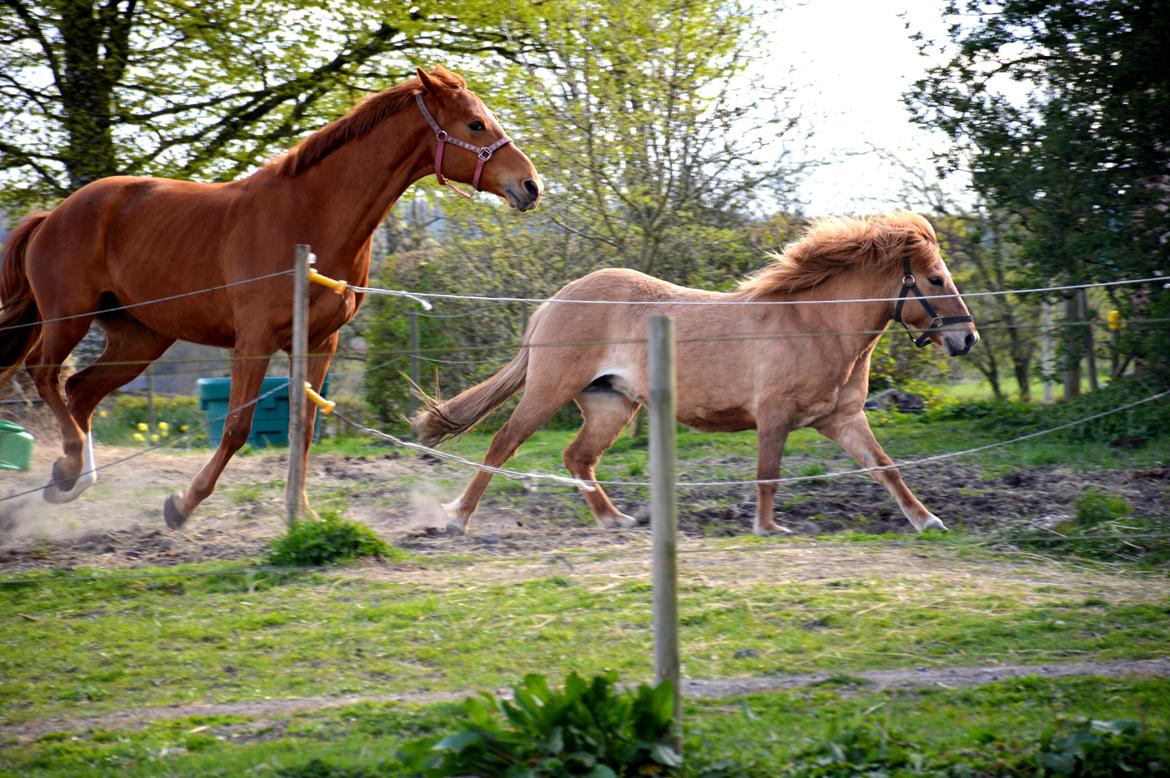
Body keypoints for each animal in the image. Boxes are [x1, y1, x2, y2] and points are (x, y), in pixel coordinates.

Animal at [0, 66, 538, 524]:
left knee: (79, 391)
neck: (310, 216)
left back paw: (70, 480)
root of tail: (52, 215)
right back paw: (70, 467)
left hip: (138, 339)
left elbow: (305, 428)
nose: (530, 185)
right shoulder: (254, 340)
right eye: (474, 124)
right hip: (69, 317)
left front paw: (304, 514)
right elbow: (238, 427)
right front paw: (183, 505)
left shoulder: (320, 342)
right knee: (45, 375)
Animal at [416, 215, 982, 538]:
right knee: (503, 445)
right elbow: (768, 473)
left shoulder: (842, 419)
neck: (813, 322)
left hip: (610, 404)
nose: (968, 338)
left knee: (577, 457)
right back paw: (456, 519)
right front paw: (768, 528)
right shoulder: (774, 416)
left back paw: (614, 521)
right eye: (936, 279)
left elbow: (887, 469)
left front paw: (928, 520)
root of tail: (556, 301)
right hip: (548, 391)